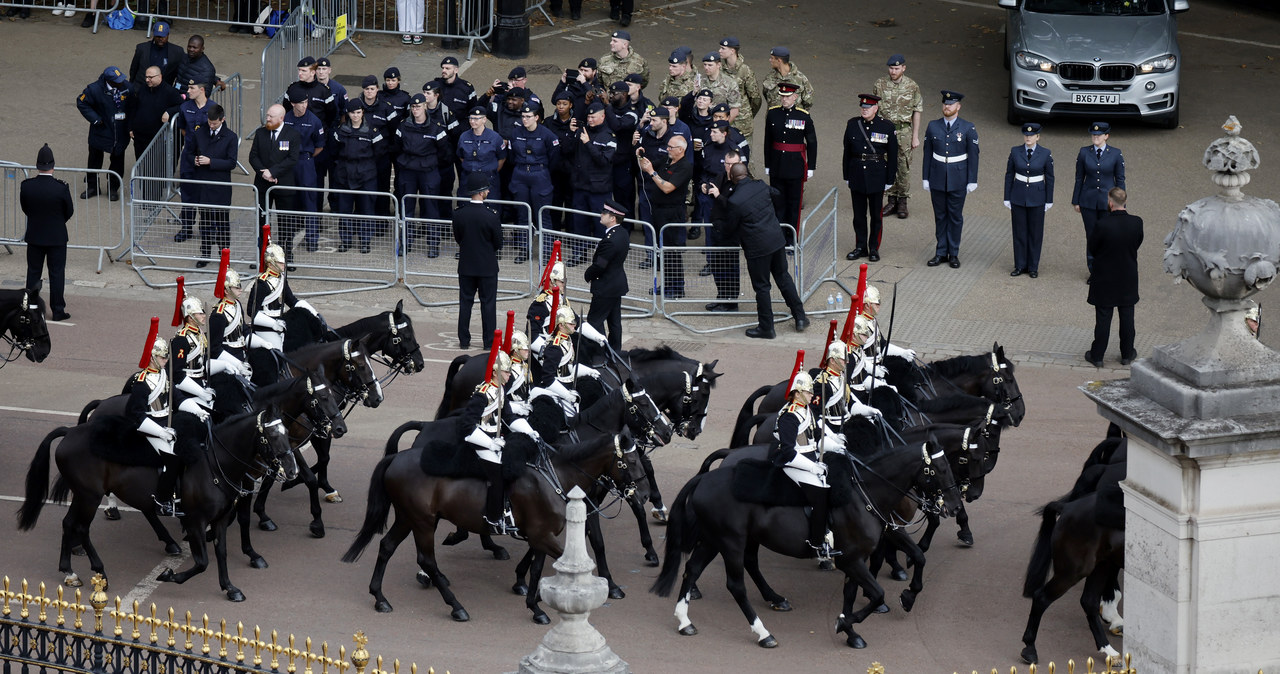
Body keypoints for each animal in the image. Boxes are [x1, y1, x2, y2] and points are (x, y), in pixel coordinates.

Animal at [18, 404, 298, 598]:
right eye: (273, 436)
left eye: (286, 432)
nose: (292, 470)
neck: (214, 464)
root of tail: (70, 432)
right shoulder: (195, 521)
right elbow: (202, 562)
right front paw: (168, 575)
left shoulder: (219, 519)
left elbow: (222, 553)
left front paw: (229, 587)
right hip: (89, 496)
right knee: (81, 528)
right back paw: (100, 571)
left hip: (82, 495)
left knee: (68, 523)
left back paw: (69, 571)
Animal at [650, 429, 962, 652]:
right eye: (938, 470)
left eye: (951, 465)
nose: (956, 507)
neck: (864, 494)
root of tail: (704, 479)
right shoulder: (851, 559)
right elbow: (876, 594)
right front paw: (846, 623)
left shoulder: (860, 553)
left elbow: (871, 584)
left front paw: (854, 628)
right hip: (731, 542)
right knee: (736, 585)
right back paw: (764, 633)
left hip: (715, 540)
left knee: (692, 570)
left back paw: (686, 621)